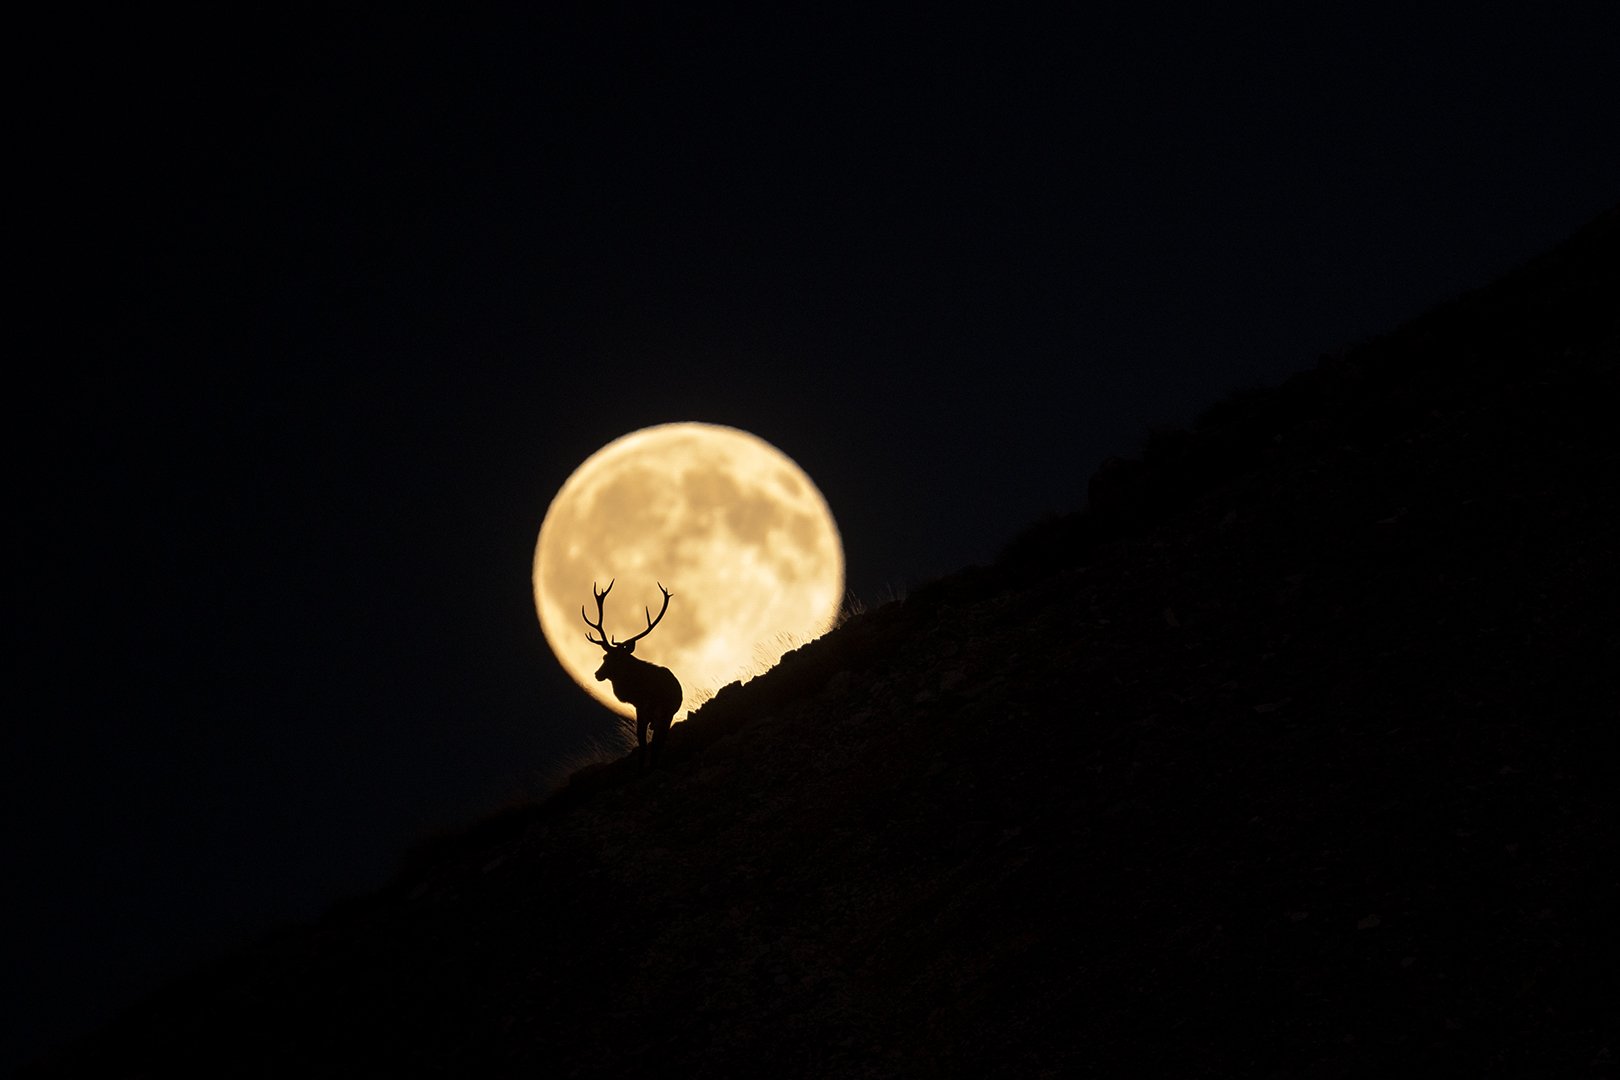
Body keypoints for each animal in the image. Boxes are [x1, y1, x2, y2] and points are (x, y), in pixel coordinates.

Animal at [582, 579, 683, 768]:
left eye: (616, 658)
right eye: (605, 656)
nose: (597, 674)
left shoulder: (648, 710)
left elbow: (648, 744)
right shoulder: (643, 711)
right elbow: (644, 743)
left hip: (664, 714)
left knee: (658, 742)